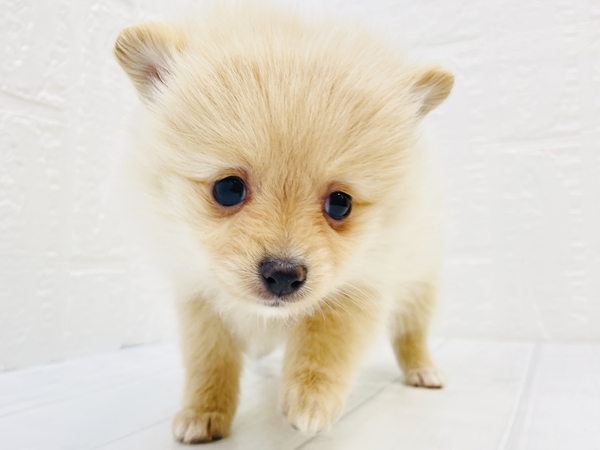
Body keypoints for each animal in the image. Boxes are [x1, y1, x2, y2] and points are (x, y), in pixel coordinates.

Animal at [114, 2, 453, 444]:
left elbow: (327, 339)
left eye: (341, 204)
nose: (283, 274)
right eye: (228, 189)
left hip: (421, 278)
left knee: (411, 331)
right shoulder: (198, 293)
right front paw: (203, 410)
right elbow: (210, 360)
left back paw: (422, 369)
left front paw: (311, 397)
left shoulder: (363, 282)